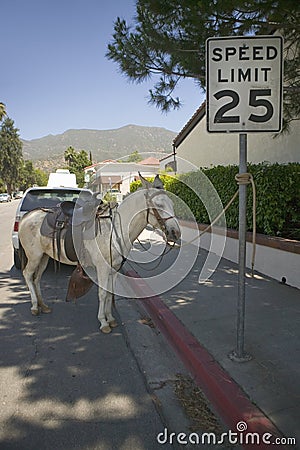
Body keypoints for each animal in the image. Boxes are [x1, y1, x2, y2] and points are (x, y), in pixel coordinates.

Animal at [18, 174, 180, 332]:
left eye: (172, 205)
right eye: (159, 205)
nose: (176, 233)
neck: (115, 229)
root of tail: (28, 216)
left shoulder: (114, 269)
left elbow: (109, 293)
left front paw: (111, 318)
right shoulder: (102, 268)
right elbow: (102, 293)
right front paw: (103, 322)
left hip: (43, 257)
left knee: (37, 278)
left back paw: (43, 305)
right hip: (34, 256)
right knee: (28, 275)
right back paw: (34, 306)